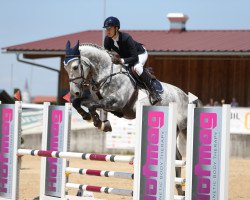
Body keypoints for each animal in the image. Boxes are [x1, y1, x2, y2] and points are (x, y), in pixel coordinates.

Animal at [63, 40, 198, 195]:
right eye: (65, 67)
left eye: (75, 66)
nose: (75, 92)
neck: (106, 74)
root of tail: (186, 96)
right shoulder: (97, 100)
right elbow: (78, 103)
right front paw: (88, 116)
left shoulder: (116, 102)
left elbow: (92, 106)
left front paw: (101, 123)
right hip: (173, 129)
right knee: (177, 157)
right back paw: (179, 190)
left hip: (185, 128)